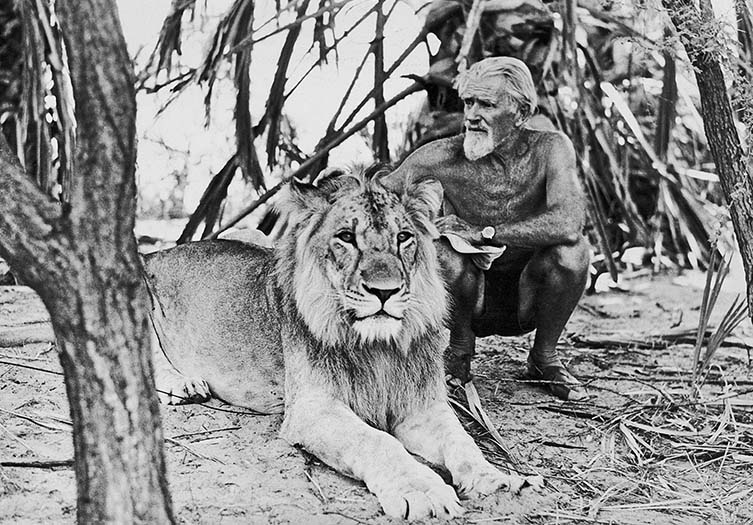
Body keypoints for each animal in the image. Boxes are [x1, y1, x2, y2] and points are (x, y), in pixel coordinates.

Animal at [142, 166, 528, 516]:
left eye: (404, 237)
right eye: (346, 237)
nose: (384, 291)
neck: (379, 346)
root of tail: (156, 252)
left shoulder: (421, 406)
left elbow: (461, 439)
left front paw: (495, 478)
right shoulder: (312, 409)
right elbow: (378, 441)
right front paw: (422, 491)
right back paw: (184, 383)